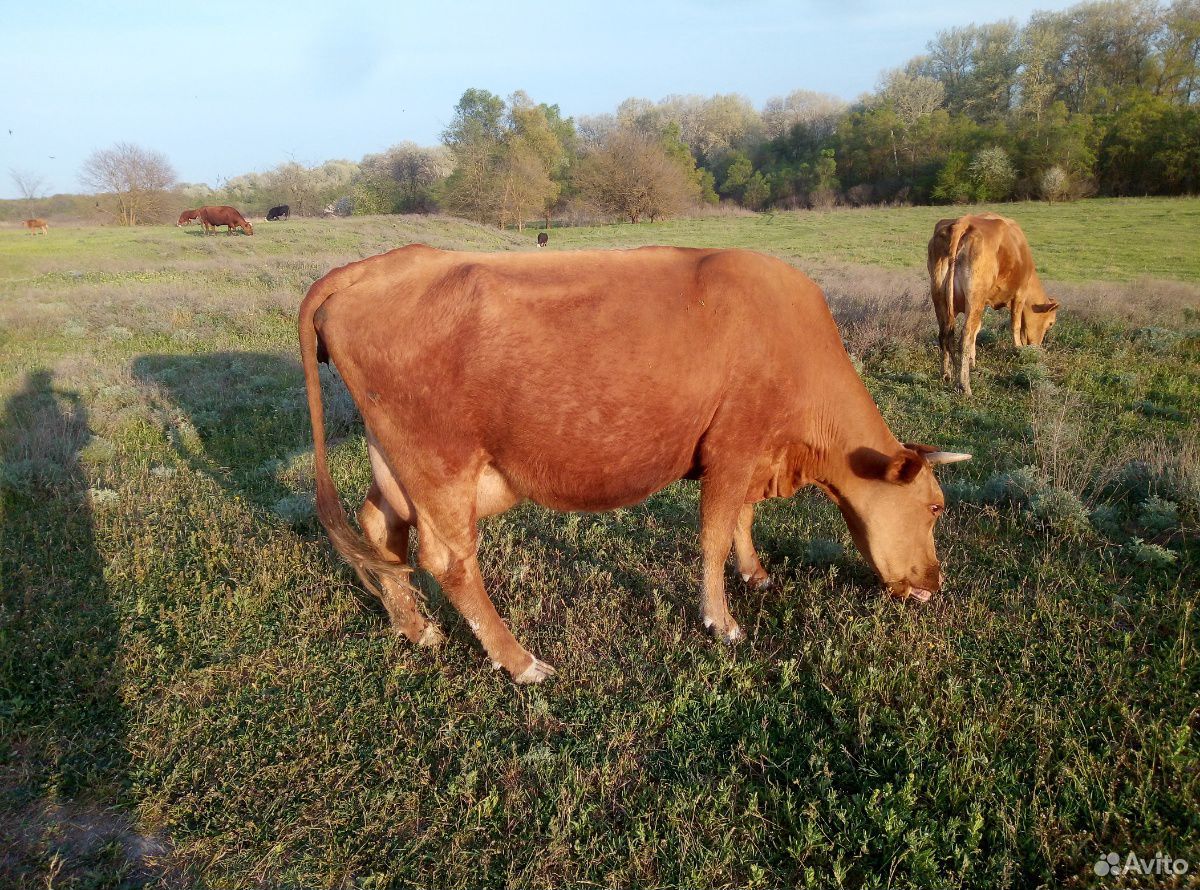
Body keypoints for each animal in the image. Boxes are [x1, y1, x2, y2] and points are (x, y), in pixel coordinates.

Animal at [300, 247, 974, 686]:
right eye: (935, 506)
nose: (936, 582)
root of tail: (375, 266)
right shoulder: (734, 447)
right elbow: (713, 536)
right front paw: (722, 621)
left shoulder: (751, 452)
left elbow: (742, 520)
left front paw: (755, 574)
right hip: (440, 462)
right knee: (450, 560)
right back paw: (521, 662)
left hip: (405, 464)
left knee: (380, 526)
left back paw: (415, 628)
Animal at [926, 212, 1060, 398]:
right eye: (1050, 323)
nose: (1036, 346)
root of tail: (962, 222)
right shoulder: (1019, 293)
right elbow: (1015, 324)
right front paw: (1018, 349)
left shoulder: (985, 302)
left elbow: (978, 329)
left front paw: (972, 360)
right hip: (975, 297)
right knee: (964, 337)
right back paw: (964, 386)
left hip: (940, 297)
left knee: (945, 334)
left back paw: (945, 375)